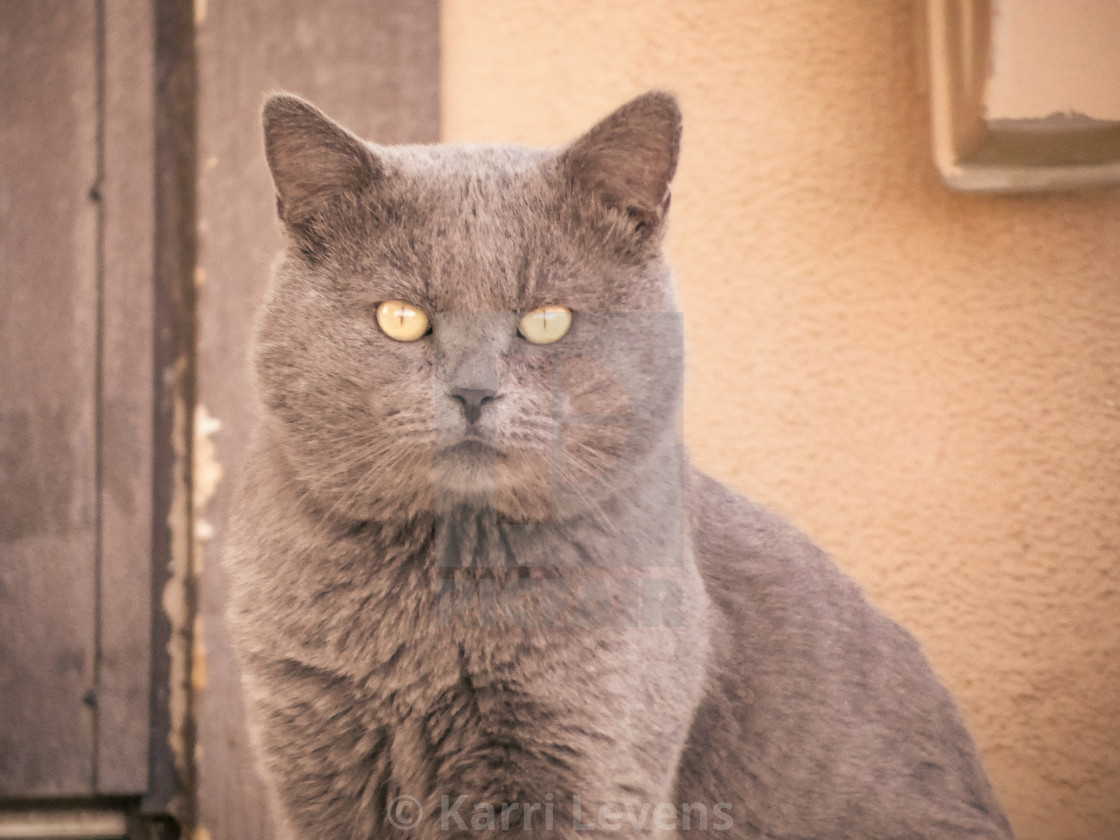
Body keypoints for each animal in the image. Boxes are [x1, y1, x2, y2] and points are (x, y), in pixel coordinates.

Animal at [227, 91, 1016, 840]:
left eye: (547, 320)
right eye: (401, 318)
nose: (474, 390)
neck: (441, 597)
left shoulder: (598, 763)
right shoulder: (315, 758)